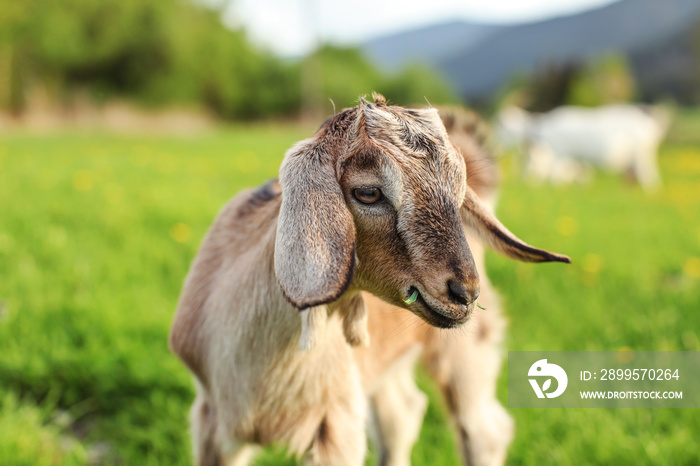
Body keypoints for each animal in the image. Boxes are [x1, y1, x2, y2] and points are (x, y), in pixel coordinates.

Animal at [494, 104, 668, 187]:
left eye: (501, 126)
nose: (496, 147)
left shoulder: (559, 154)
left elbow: (555, 178)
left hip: (642, 154)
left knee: (649, 176)